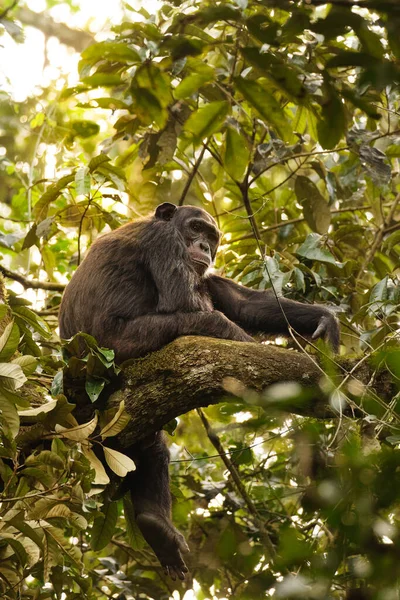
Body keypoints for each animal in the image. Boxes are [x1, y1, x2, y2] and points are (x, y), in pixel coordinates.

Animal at [59, 203, 340, 580]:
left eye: (211, 236)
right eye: (195, 228)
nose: (205, 247)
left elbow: (239, 301)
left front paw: (324, 318)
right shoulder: (166, 245)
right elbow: (190, 303)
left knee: (149, 443)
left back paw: (154, 523)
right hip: (119, 346)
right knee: (208, 320)